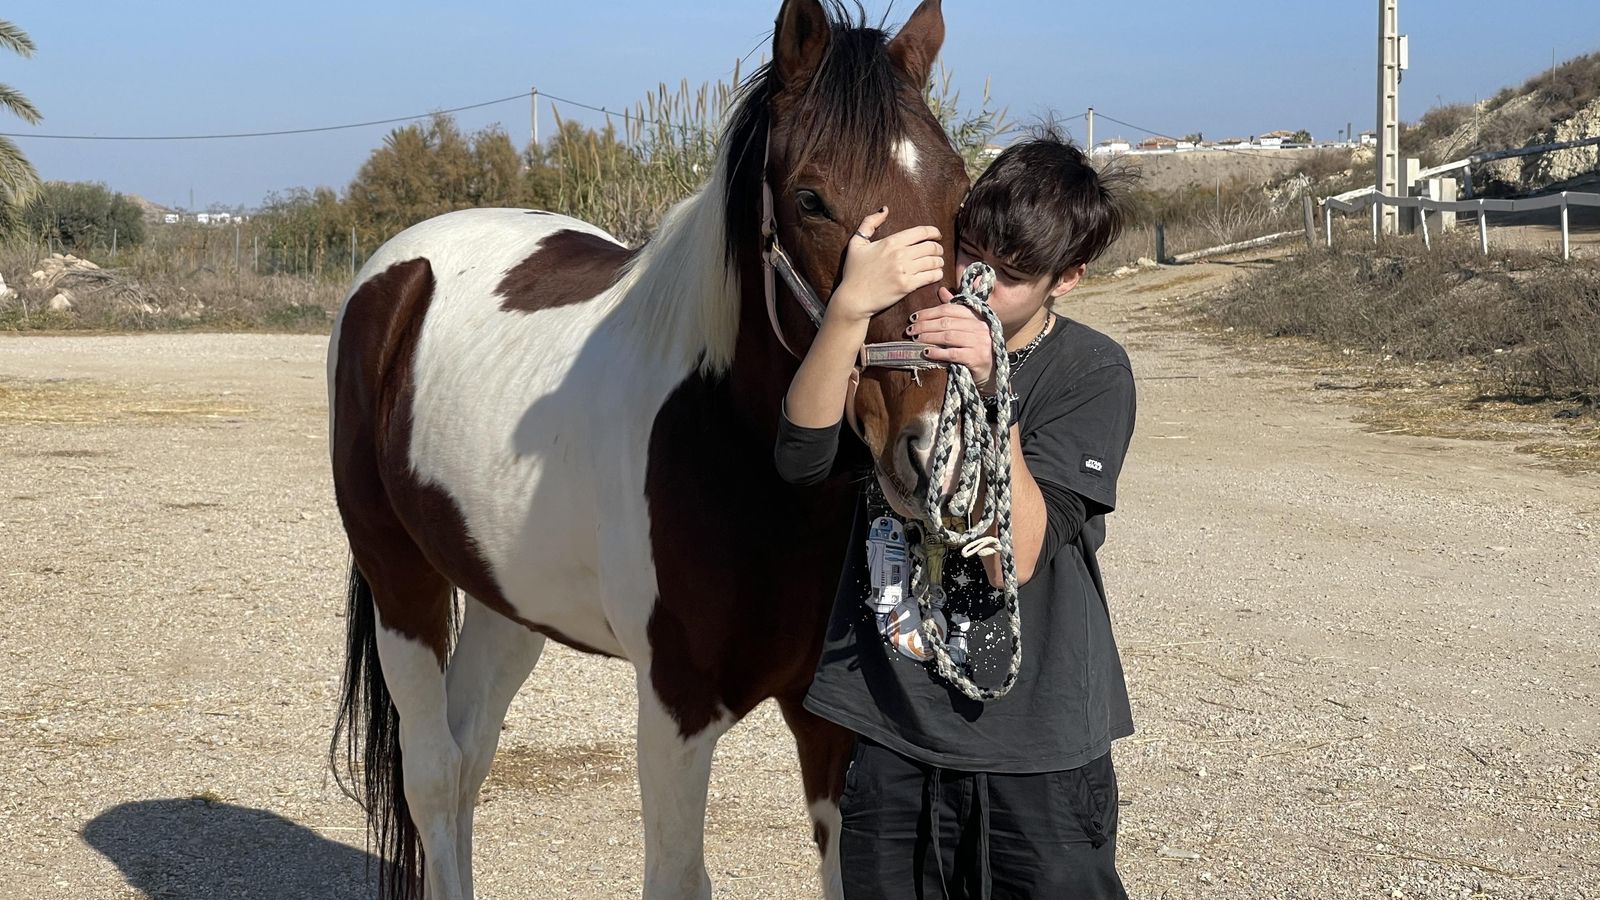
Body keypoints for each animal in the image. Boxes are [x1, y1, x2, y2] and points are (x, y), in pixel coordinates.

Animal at [326, 2, 968, 897]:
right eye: (811, 198)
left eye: (958, 187)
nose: (931, 447)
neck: (740, 460)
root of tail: (396, 269)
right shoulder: (674, 712)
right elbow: (677, 876)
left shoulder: (827, 720)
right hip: (399, 578)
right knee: (432, 772)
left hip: (505, 596)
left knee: (468, 758)